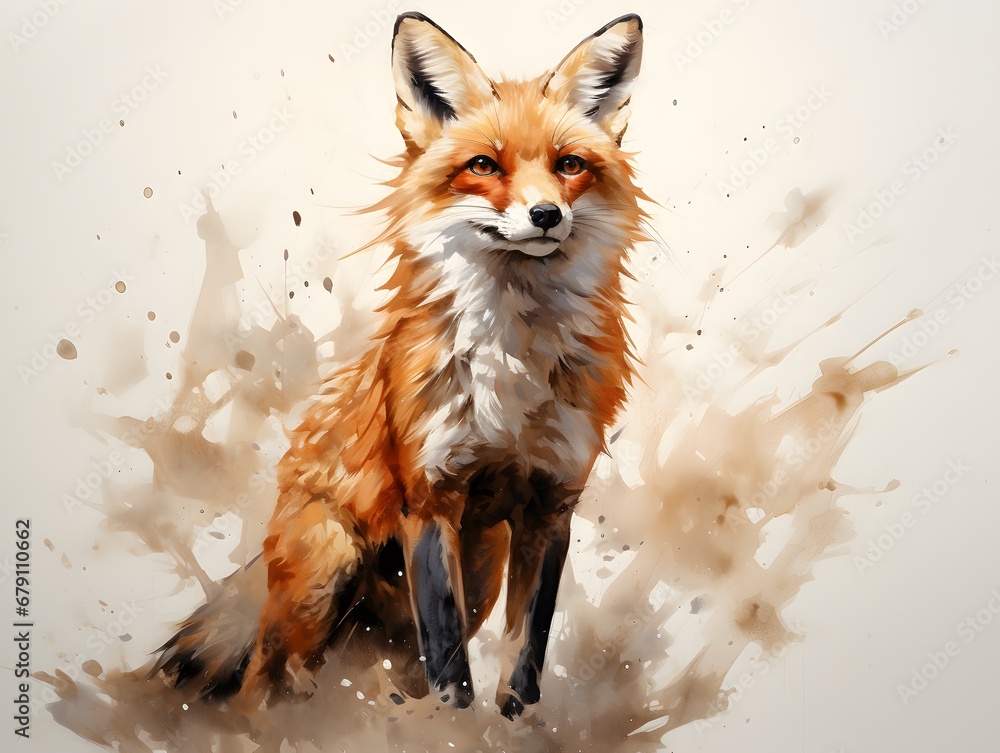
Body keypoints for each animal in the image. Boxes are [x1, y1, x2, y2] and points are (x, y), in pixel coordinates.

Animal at [154, 12, 646, 719]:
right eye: (483, 165)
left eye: (570, 165)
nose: (546, 214)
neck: (513, 368)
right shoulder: (430, 496)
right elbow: (450, 667)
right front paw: (452, 728)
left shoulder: (551, 504)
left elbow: (523, 657)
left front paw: (513, 727)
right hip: (327, 573)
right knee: (267, 680)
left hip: (478, 567)